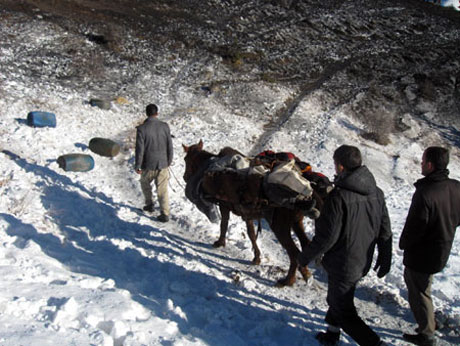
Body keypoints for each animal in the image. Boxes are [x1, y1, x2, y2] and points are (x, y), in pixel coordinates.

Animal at [181, 139, 322, 286]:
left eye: (186, 159)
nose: (185, 176)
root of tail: (305, 197)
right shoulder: (247, 214)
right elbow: (252, 234)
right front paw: (256, 257)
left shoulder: (224, 207)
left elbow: (224, 224)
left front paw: (220, 242)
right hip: (296, 222)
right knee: (305, 244)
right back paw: (305, 272)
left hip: (280, 227)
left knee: (294, 252)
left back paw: (288, 280)